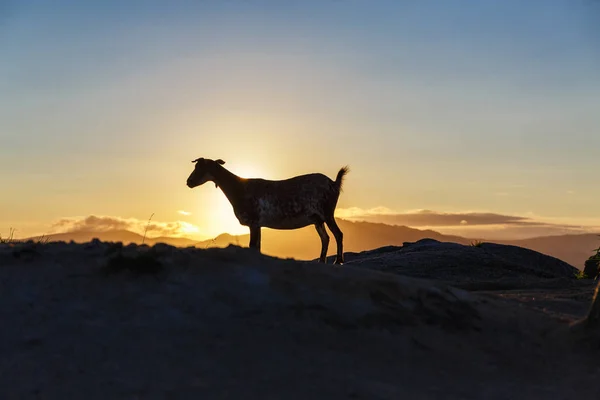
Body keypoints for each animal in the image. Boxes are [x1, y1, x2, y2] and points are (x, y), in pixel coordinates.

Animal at [185, 158, 350, 264]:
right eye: (195, 166)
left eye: (201, 168)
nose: (189, 182)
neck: (239, 189)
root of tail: (334, 183)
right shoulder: (258, 224)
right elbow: (257, 247)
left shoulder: (253, 222)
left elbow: (252, 246)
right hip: (317, 219)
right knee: (325, 238)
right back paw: (321, 261)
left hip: (327, 212)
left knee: (338, 234)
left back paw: (337, 261)